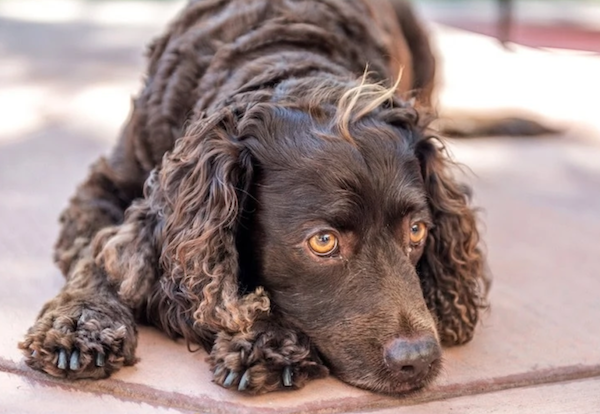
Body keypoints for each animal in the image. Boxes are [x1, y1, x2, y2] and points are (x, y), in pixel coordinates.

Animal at [18, 0, 488, 394]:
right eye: (323, 241)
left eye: (417, 230)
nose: (418, 359)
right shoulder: (104, 187)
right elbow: (96, 255)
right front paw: (80, 324)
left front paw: (266, 340)